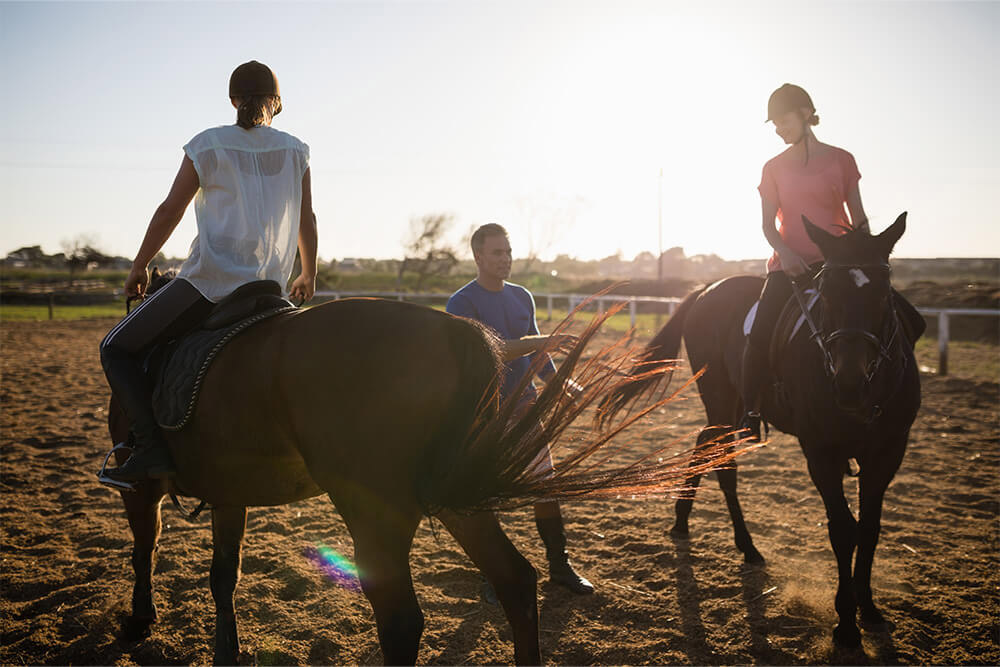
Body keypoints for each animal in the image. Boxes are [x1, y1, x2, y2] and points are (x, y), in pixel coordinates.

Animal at [107, 292, 744, 664]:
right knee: (515, 581)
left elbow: (145, 550)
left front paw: (139, 620)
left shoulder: (140, 488)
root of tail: (448, 329)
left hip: (375, 510)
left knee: (401, 620)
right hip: (457, 498)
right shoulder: (227, 494)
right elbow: (223, 576)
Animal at [600, 214, 920, 648]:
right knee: (723, 461)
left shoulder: (888, 451)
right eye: (825, 293)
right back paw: (743, 544)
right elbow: (842, 530)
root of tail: (707, 288)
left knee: (706, 441)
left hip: (731, 404)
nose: (849, 383)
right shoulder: (820, 451)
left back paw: (685, 520)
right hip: (720, 394)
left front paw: (868, 609)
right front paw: (845, 623)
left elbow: (868, 529)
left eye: (883, 293)